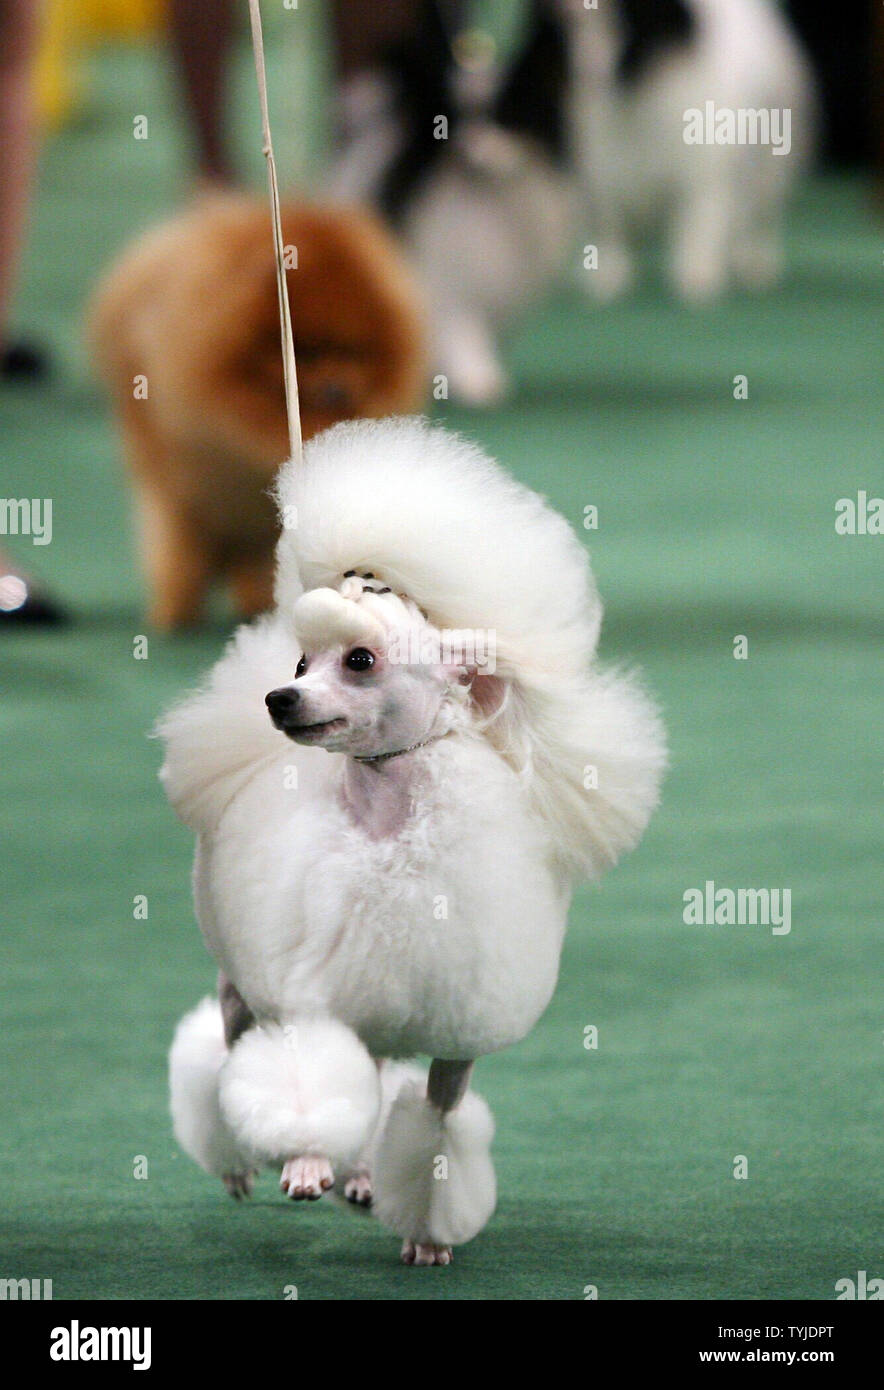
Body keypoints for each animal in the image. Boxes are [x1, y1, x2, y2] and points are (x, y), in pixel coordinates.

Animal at [87, 193, 425, 628]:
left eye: (352, 351)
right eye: (308, 351)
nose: (336, 390)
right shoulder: (187, 492)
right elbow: (182, 553)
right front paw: (175, 610)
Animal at [164, 417, 661, 1267]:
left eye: (360, 660)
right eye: (301, 661)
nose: (279, 697)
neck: (390, 818)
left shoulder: (455, 1023)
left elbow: (437, 1123)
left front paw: (427, 1231)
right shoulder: (312, 992)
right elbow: (301, 1081)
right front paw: (304, 1165)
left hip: (380, 1023)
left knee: (374, 1089)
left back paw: (365, 1177)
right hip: (242, 985)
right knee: (228, 1051)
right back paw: (242, 1162)